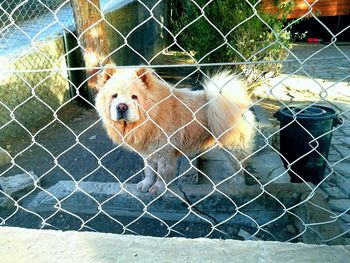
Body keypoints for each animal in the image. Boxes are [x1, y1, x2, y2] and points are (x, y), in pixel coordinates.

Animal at [94, 66, 256, 194]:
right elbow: (149, 172)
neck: (153, 116)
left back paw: (237, 184)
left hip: (232, 146)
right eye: (114, 96)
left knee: (240, 166)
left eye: (134, 97)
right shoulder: (148, 152)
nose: (121, 107)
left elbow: (162, 173)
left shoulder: (164, 153)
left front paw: (157, 188)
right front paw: (146, 184)